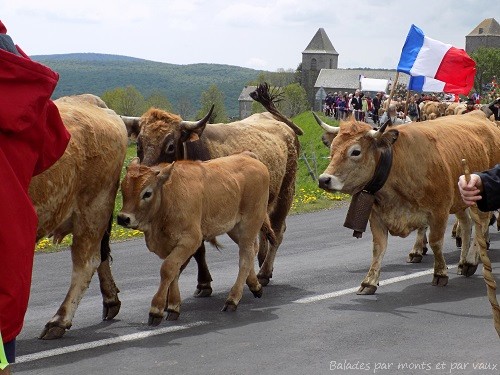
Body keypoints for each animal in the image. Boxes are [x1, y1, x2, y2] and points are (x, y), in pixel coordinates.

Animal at [31, 97, 128, 340]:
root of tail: (89, 100)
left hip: (93, 209)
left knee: (86, 262)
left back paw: (59, 320)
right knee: (100, 255)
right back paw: (111, 300)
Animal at [312, 110, 500, 296]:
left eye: (355, 152)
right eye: (333, 148)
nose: (324, 179)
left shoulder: (439, 211)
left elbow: (435, 242)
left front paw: (440, 273)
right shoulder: (377, 216)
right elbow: (378, 247)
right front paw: (369, 282)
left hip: (479, 199)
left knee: (481, 226)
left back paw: (470, 261)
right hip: (460, 200)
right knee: (467, 224)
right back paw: (462, 262)